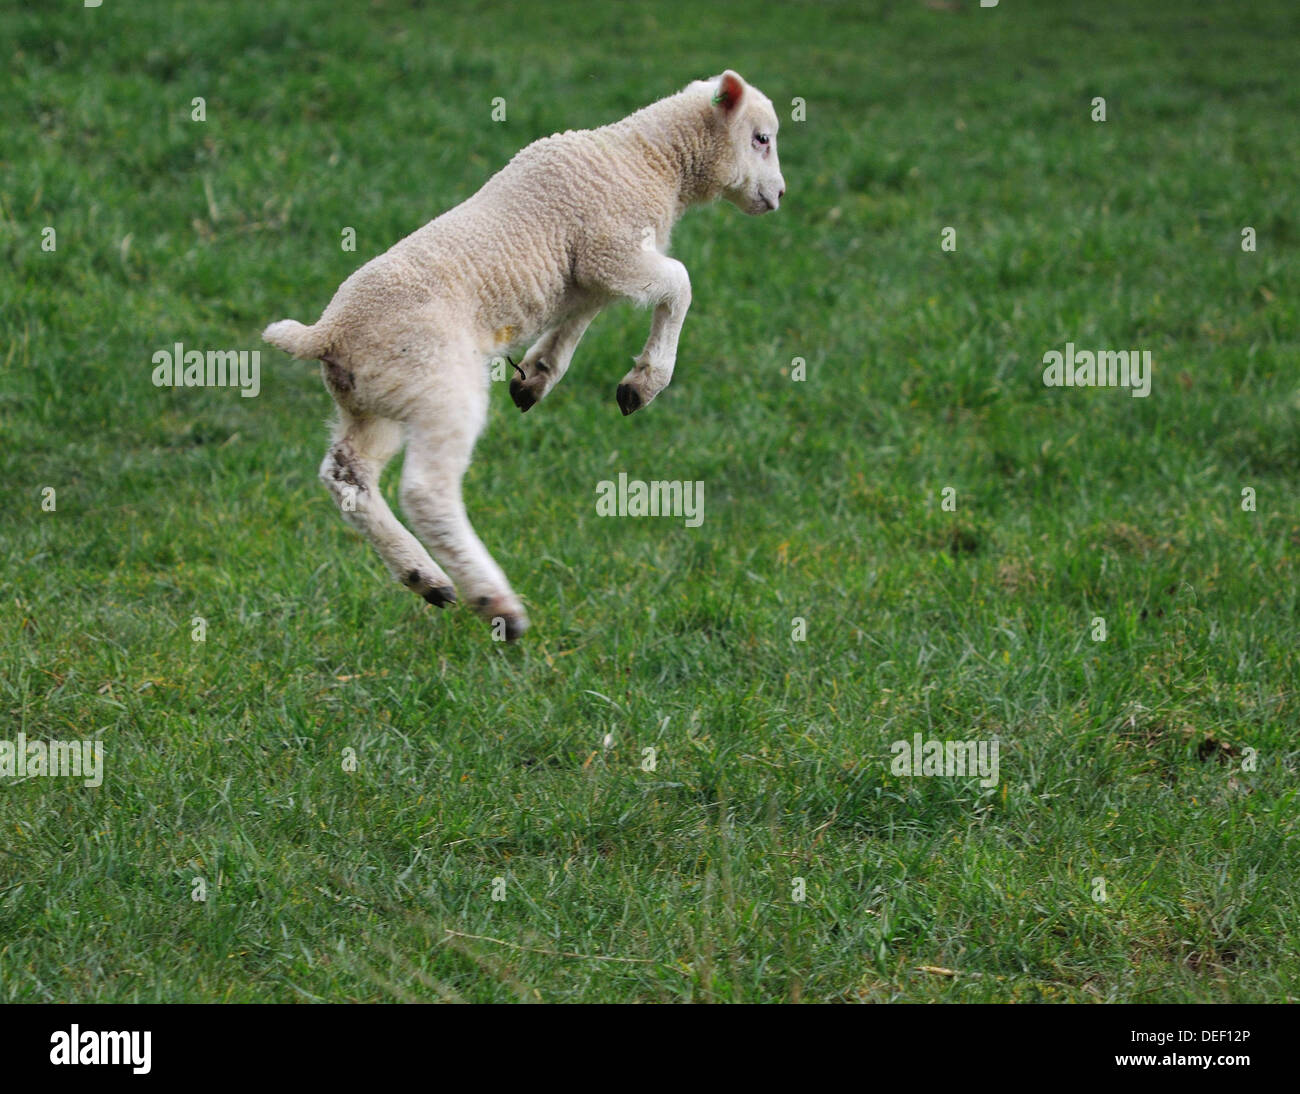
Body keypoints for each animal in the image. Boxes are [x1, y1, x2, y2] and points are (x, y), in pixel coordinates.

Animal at [263, 70, 785, 641]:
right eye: (761, 139)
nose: (780, 195)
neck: (647, 158)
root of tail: (327, 332)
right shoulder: (612, 248)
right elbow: (680, 282)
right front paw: (644, 383)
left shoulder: (588, 272)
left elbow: (578, 318)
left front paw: (537, 375)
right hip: (436, 380)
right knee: (426, 491)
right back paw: (495, 602)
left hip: (376, 399)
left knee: (347, 476)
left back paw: (424, 577)